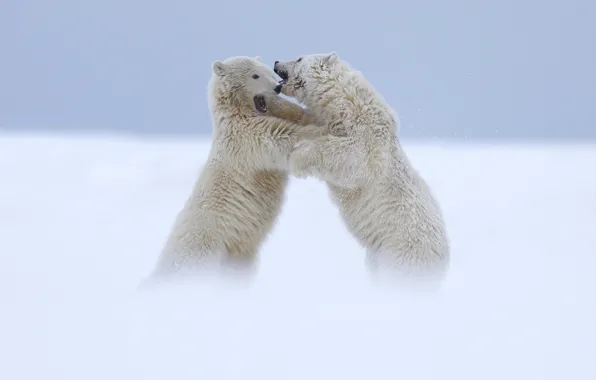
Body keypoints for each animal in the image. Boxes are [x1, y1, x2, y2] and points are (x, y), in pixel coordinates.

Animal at [148, 56, 326, 282]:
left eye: (267, 70)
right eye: (255, 75)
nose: (277, 87)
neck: (236, 113)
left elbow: (293, 114)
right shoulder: (246, 138)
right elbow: (283, 135)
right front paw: (323, 131)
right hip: (206, 248)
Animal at [272, 52, 450, 284]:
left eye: (300, 58)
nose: (276, 62)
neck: (348, 105)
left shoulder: (369, 140)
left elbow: (350, 158)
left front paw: (298, 156)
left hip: (402, 253)